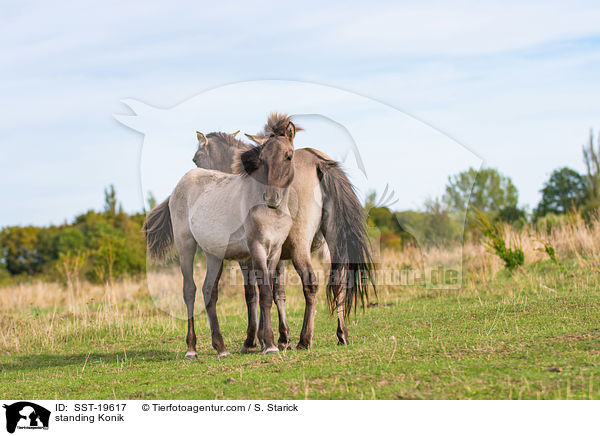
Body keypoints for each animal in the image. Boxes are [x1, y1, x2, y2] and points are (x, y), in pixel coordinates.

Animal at [192, 114, 376, 352]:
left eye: (197, 159)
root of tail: (318, 162)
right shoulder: (276, 254)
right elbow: (277, 292)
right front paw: (280, 337)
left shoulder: (249, 257)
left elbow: (252, 293)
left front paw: (254, 340)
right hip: (334, 243)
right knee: (340, 281)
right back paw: (341, 334)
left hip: (300, 247)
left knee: (310, 283)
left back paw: (305, 339)